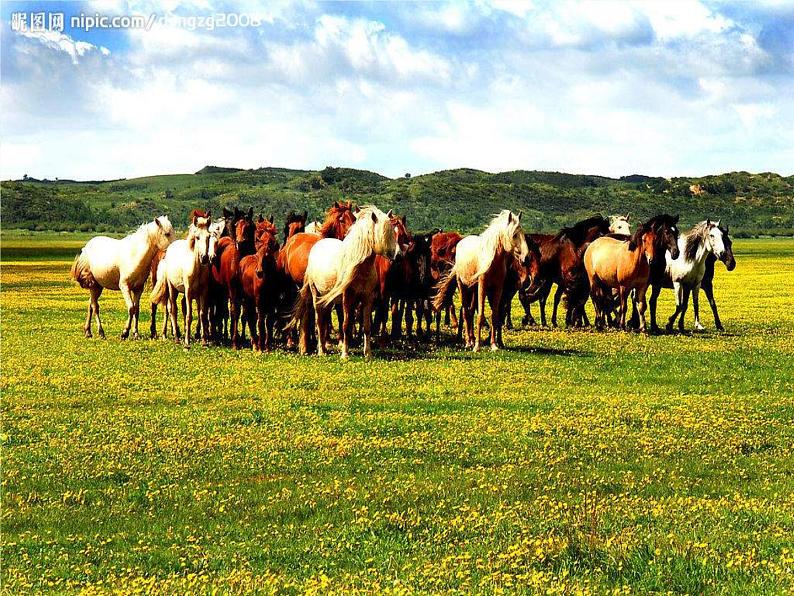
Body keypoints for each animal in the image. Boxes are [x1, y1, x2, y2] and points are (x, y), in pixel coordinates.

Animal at [149, 214, 213, 346]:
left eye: (209, 236)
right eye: (197, 237)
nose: (204, 258)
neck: (196, 268)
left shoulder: (203, 291)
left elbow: (202, 314)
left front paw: (204, 341)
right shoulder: (188, 292)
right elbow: (189, 315)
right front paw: (187, 342)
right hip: (172, 289)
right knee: (172, 309)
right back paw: (177, 338)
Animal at [292, 206, 400, 358]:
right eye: (383, 233)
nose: (396, 256)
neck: (359, 267)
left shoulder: (367, 298)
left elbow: (367, 326)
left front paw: (368, 354)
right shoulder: (347, 298)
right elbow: (346, 325)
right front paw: (345, 354)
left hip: (328, 300)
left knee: (324, 322)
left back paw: (325, 348)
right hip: (316, 296)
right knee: (319, 322)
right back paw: (321, 351)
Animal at [430, 211, 528, 352]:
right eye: (514, 234)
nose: (526, 258)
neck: (493, 259)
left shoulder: (497, 288)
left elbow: (495, 316)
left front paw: (494, 345)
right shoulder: (482, 286)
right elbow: (480, 315)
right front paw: (477, 346)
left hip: (473, 290)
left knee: (470, 312)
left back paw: (471, 339)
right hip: (463, 287)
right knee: (466, 312)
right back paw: (468, 342)